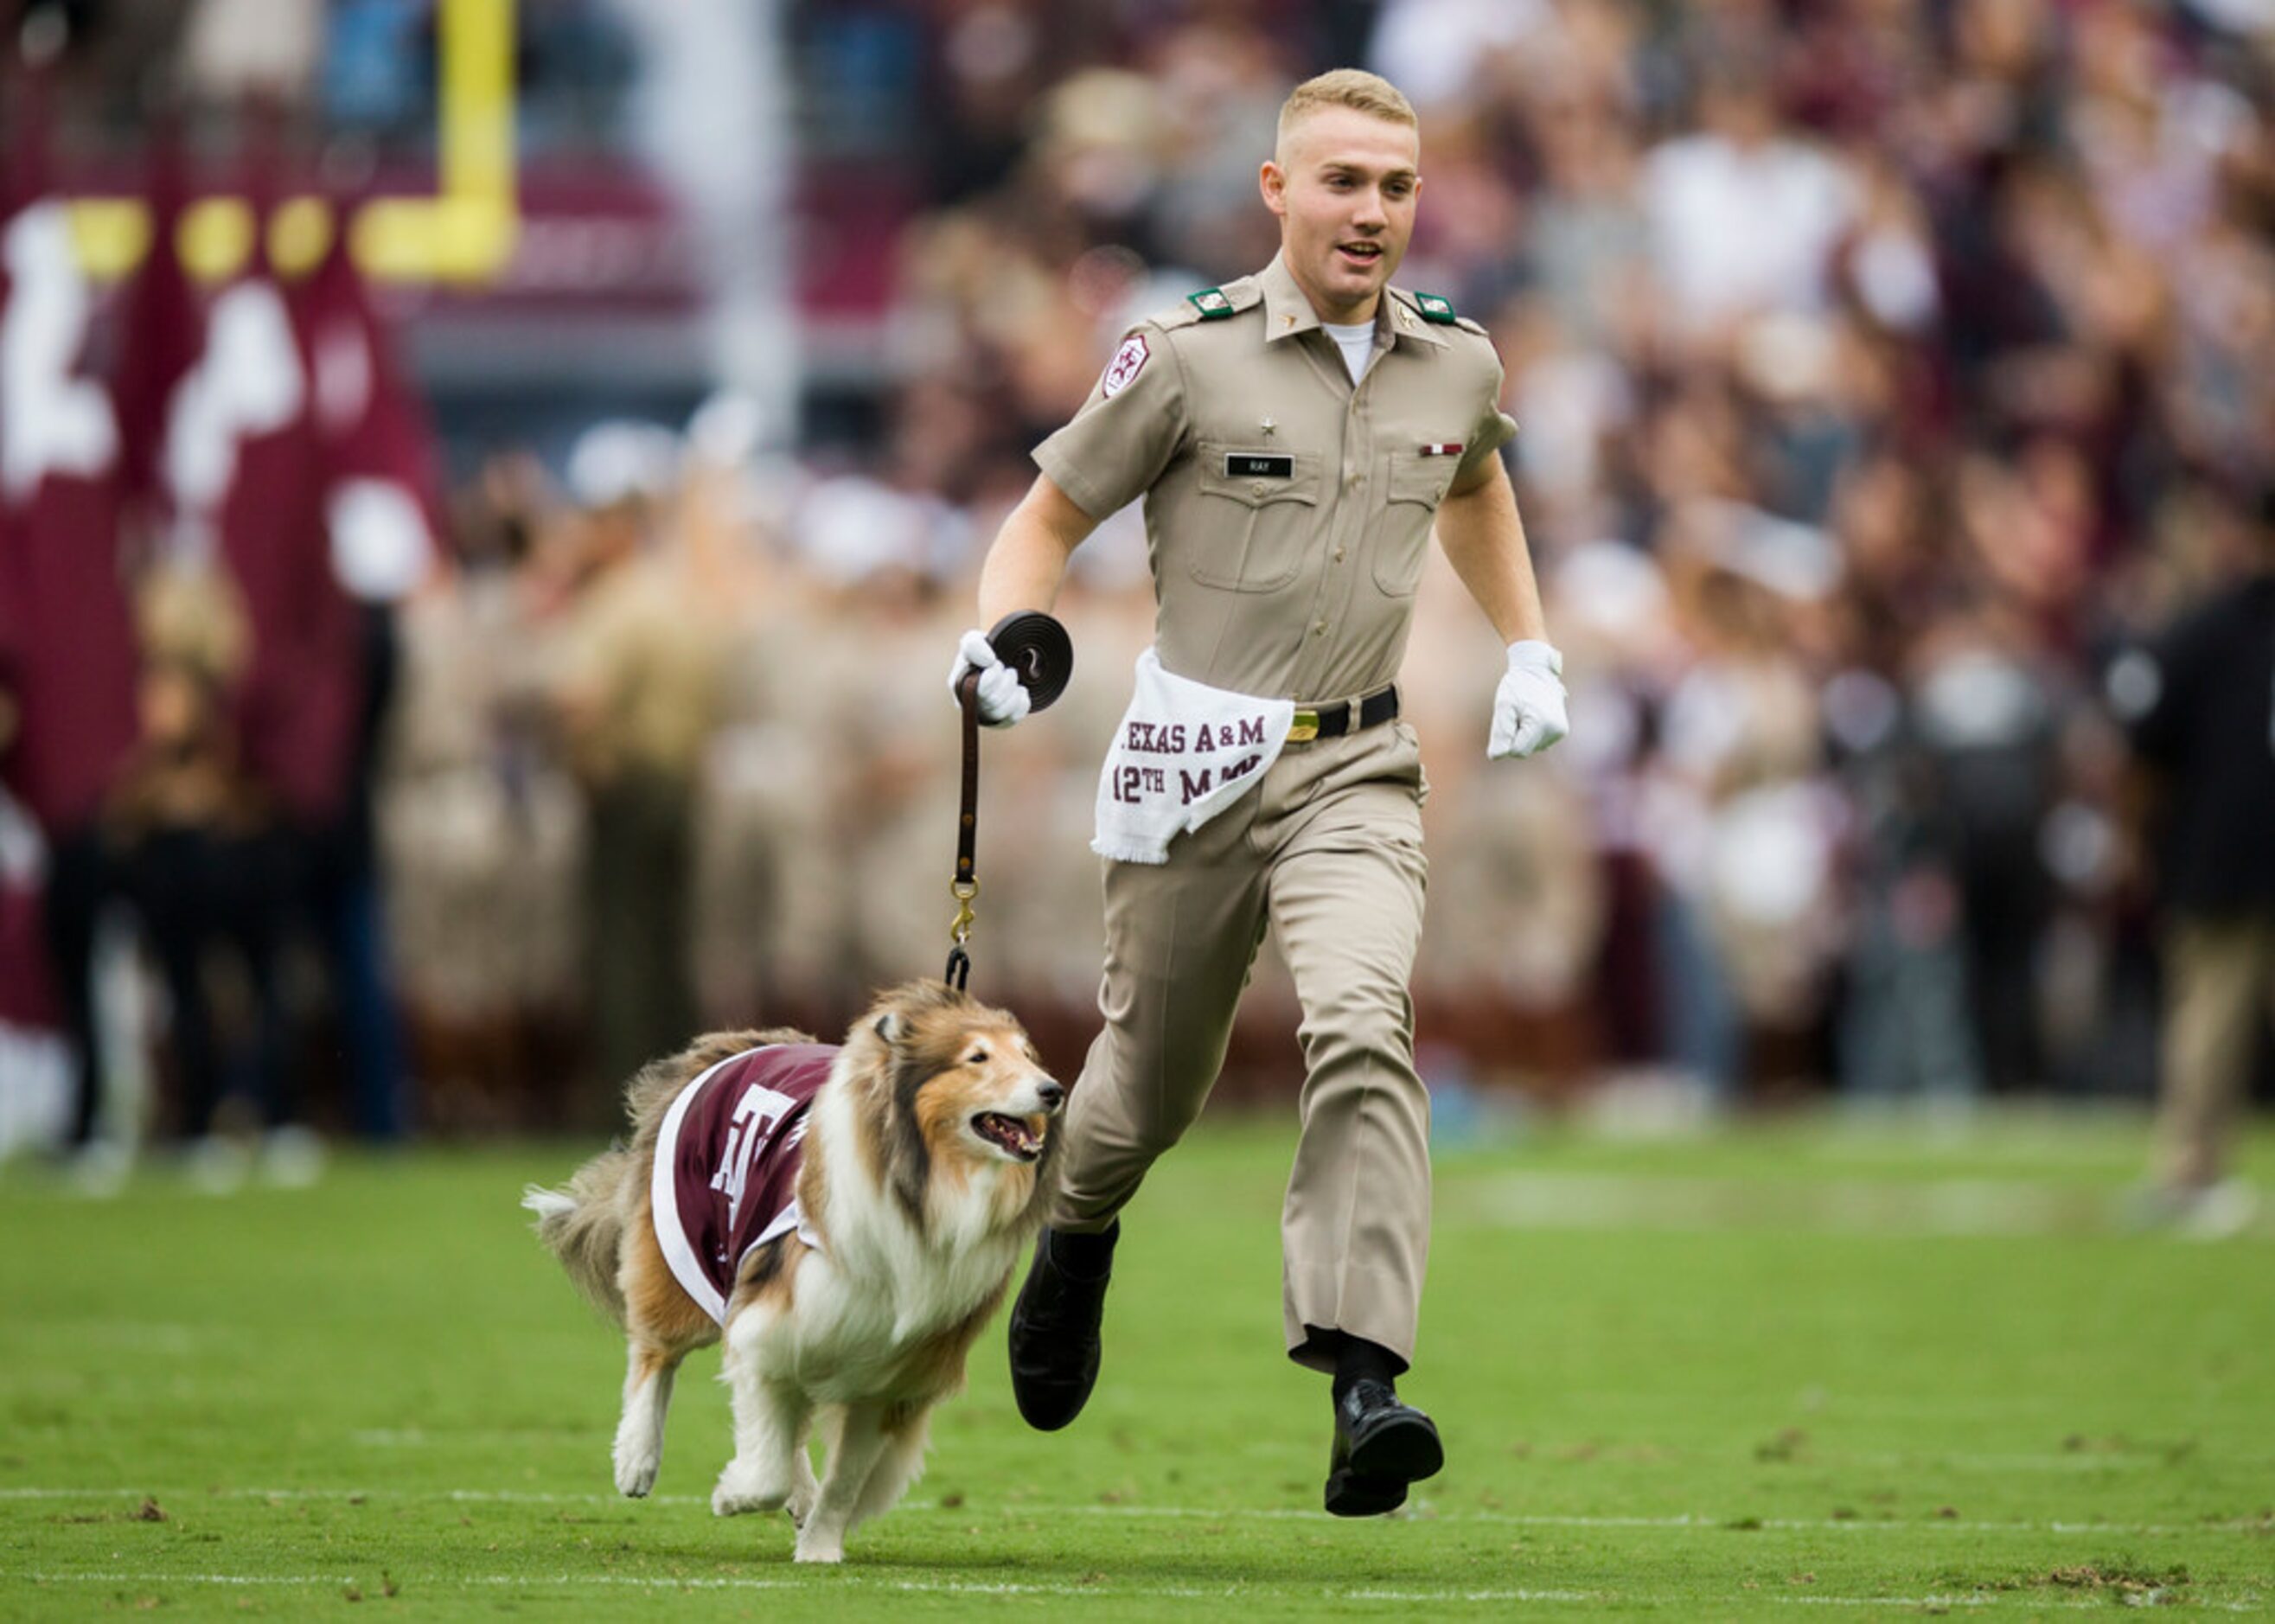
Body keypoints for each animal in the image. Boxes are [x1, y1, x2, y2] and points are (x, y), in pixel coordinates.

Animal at [525, 973, 1064, 1556]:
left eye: (1027, 1054)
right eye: (977, 1057)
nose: (1053, 1090)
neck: (927, 1194)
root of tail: (739, 1042)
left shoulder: (888, 1369)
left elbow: (842, 1479)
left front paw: (818, 1549)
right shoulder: (770, 1319)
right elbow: (768, 1463)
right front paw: (732, 1495)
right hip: (691, 1259)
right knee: (653, 1353)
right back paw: (636, 1460)